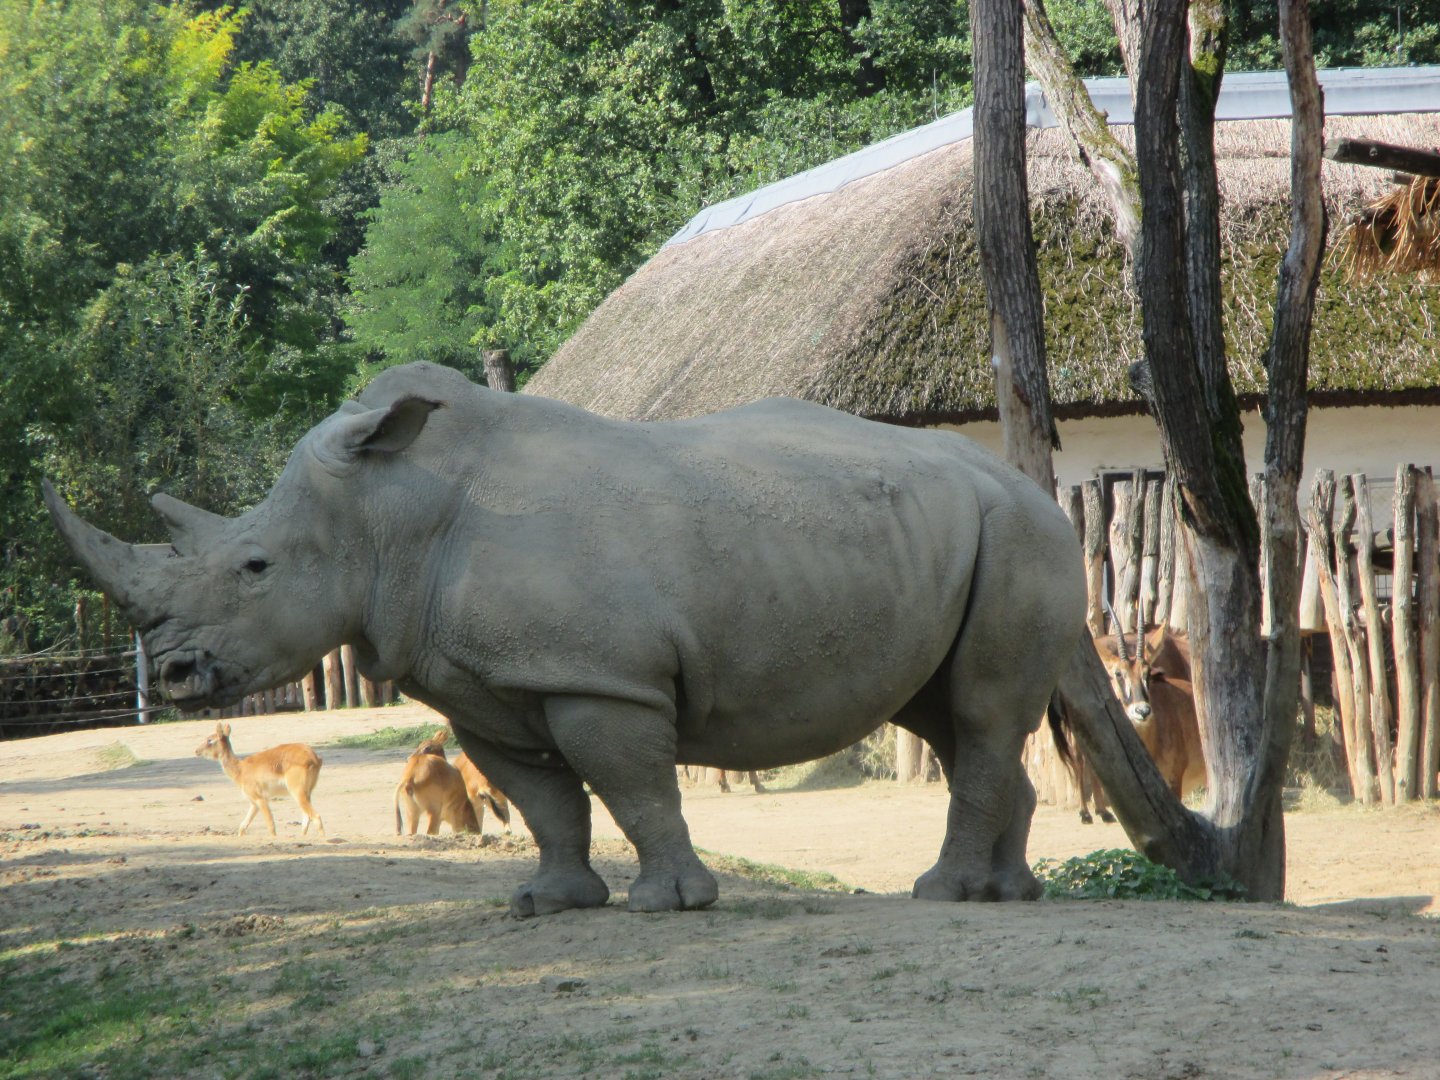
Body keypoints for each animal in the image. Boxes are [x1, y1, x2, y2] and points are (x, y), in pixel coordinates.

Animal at [45, 361, 1085, 915]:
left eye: (254, 567)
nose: (174, 674)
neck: (388, 515)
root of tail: (1031, 483)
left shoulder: (596, 674)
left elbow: (631, 785)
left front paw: (671, 905)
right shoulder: (483, 683)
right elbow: (543, 797)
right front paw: (550, 904)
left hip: (1022, 531)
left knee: (978, 714)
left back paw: (943, 894)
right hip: (954, 535)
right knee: (947, 717)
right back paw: (1007, 895)